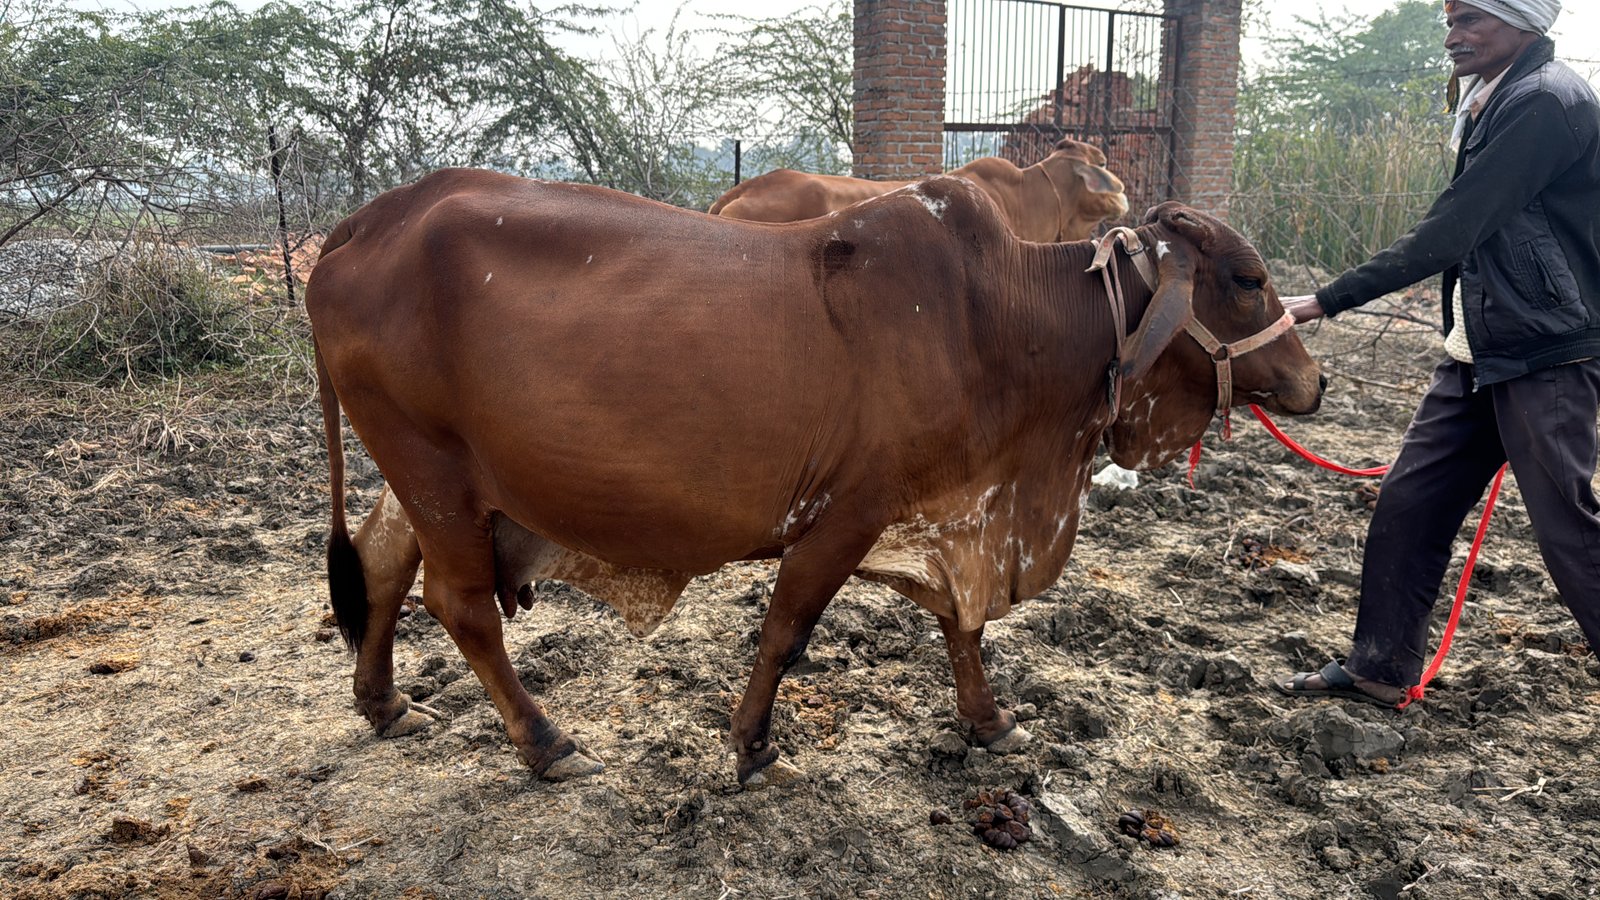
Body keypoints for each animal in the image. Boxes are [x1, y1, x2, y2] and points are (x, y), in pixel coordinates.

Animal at [307, 168, 1324, 787]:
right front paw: (752, 746)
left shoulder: (948, 516)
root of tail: (366, 221)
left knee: (383, 565)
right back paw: (547, 743)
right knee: (463, 606)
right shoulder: (848, 514)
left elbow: (960, 628)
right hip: (430, 466)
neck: (995, 320)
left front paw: (988, 722)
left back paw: (384, 703)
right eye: (1247, 278)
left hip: (434, 475)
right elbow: (787, 631)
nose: (1315, 381)